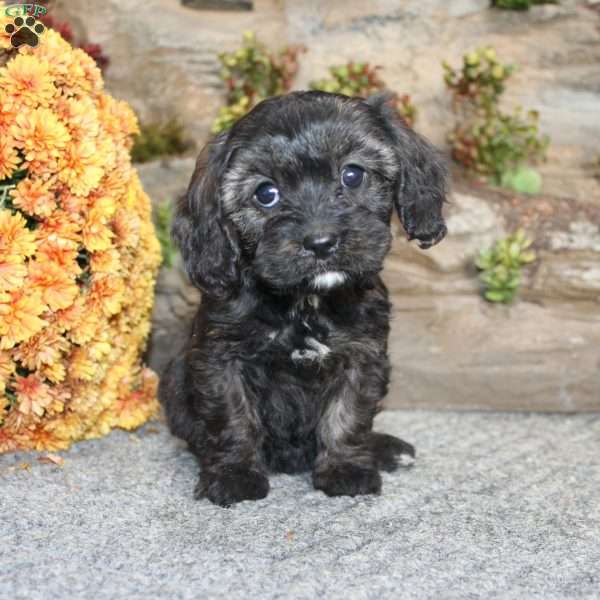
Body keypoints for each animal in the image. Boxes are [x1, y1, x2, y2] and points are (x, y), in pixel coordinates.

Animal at [159, 92, 446, 506]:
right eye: (266, 194)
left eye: (352, 174)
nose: (321, 241)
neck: (306, 302)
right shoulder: (219, 358)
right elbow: (231, 417)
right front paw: (233, 475)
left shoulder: (363, 356)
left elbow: (348, 415)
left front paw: (346, 469)